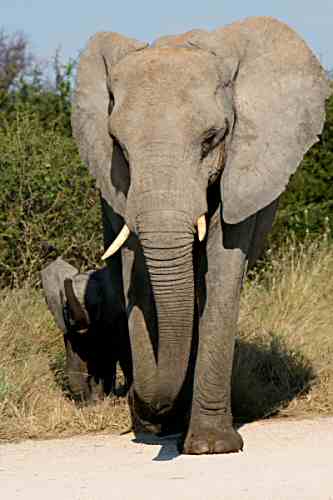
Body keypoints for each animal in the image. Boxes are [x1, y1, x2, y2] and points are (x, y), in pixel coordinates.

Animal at [40, 258, 131, 402]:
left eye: (93, 307)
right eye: (66, 308)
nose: (67, 280)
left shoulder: (112, 318)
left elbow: (104, 358)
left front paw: (99, 400)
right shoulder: (68, 328)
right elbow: (75, 359)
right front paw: (86, 402)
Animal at [71, 16, 328, 454]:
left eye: (212, 138)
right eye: (119, 145)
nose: (138, 402)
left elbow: (223, 269)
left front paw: (211, 447)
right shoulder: (119, 190)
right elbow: (139, 274)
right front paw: (158, 425)